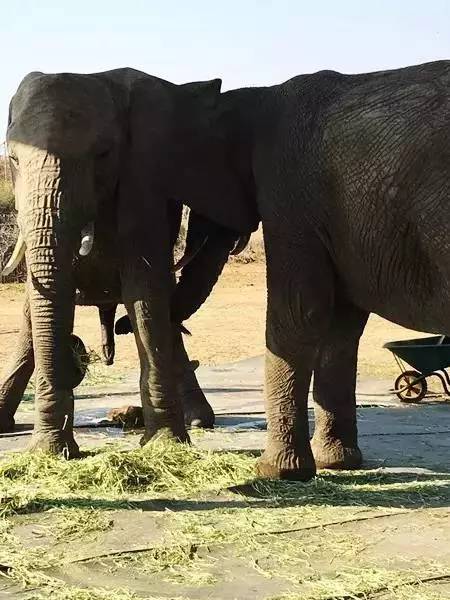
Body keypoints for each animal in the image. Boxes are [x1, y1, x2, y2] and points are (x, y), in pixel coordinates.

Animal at [0, 68, 255, 454]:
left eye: (103, 154)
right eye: (13, 159)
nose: (77, 356)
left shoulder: (142, 183)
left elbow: (144, 292)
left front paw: (164, 445)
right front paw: (51, 452)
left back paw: (197, 421)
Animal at [161, 59, 446, 482]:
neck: (255, 95)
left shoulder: (290, 193)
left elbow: (297, 312)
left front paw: (276, 471)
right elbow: (341, 327)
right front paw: (337, 464)